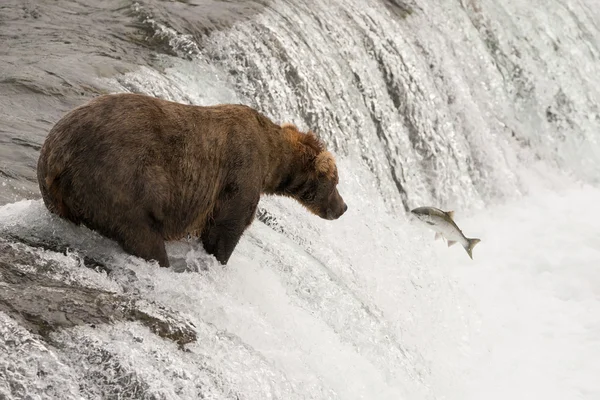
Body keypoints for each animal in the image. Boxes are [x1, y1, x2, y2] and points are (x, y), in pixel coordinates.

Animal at [36, 93, 346, 268]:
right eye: (335, 182)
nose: (342, 208)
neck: (272, 159)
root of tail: (56, 156)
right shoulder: (241, 171)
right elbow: (227, 225)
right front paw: (217, 260)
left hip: (62, 197)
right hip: (117, 184)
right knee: (142, 236)